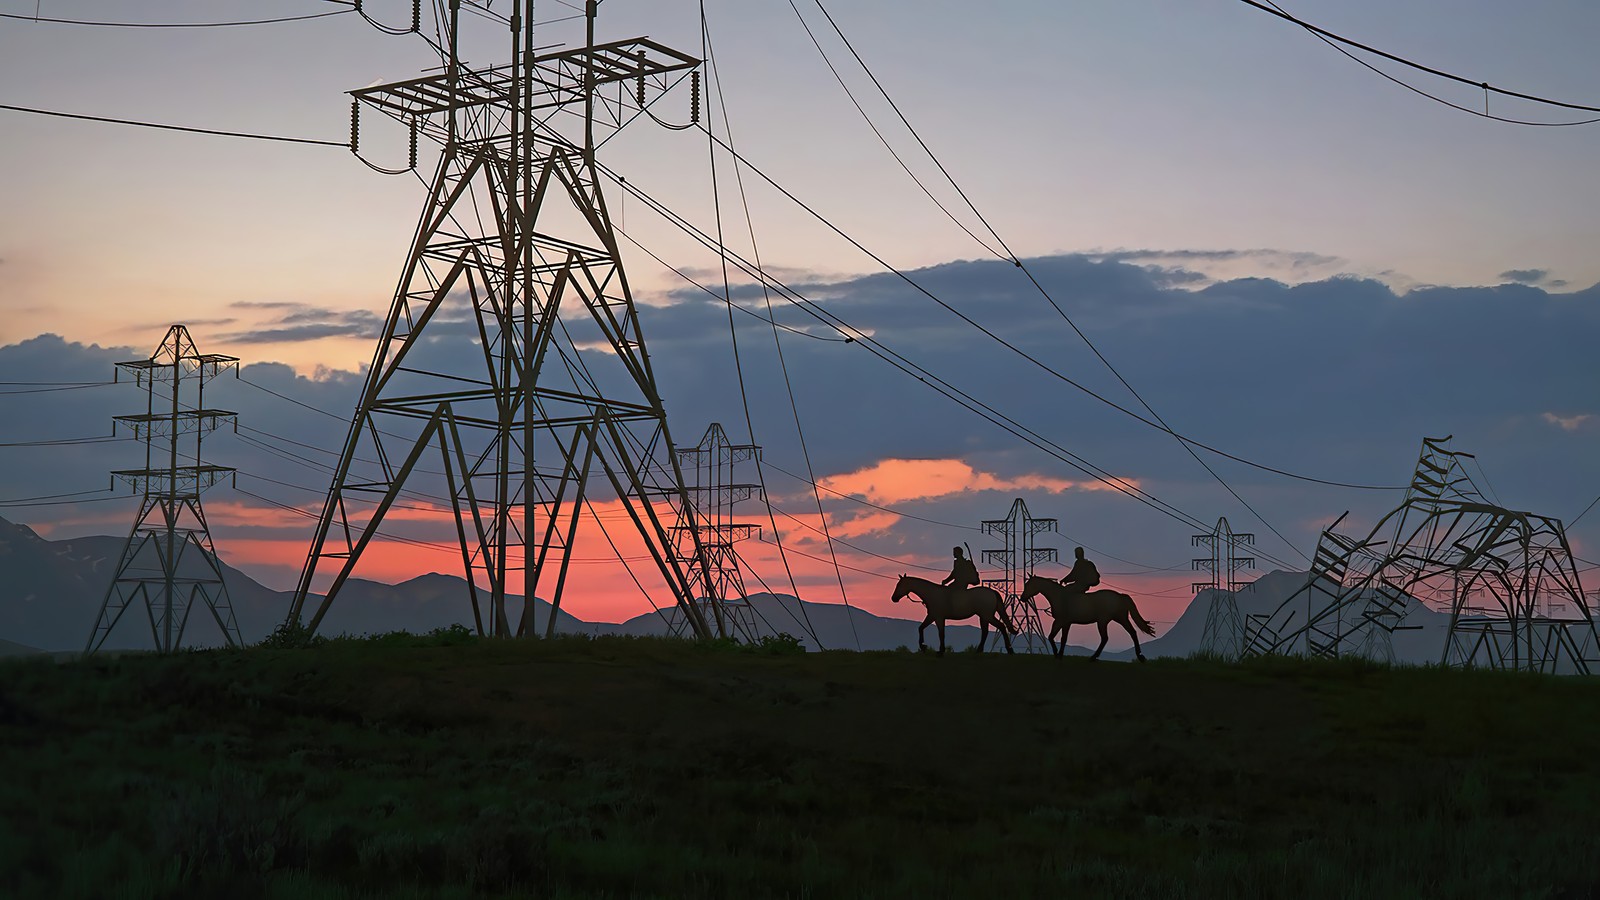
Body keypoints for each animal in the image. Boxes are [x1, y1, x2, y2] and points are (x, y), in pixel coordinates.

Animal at [1017, 573, 1158, 659]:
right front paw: (1059, 654)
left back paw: (1094, 657)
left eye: (1029, 584)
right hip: (1120, 619)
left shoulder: (1061, 621)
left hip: (1105, 621)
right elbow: (1059, 638)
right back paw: (1140, 657)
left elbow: (1055, 637)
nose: (1022, 598)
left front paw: (1057, 654)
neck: (1059, 597)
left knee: (1106, 638)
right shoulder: (1063, 622)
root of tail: (1120, 596)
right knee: (1132, 632)